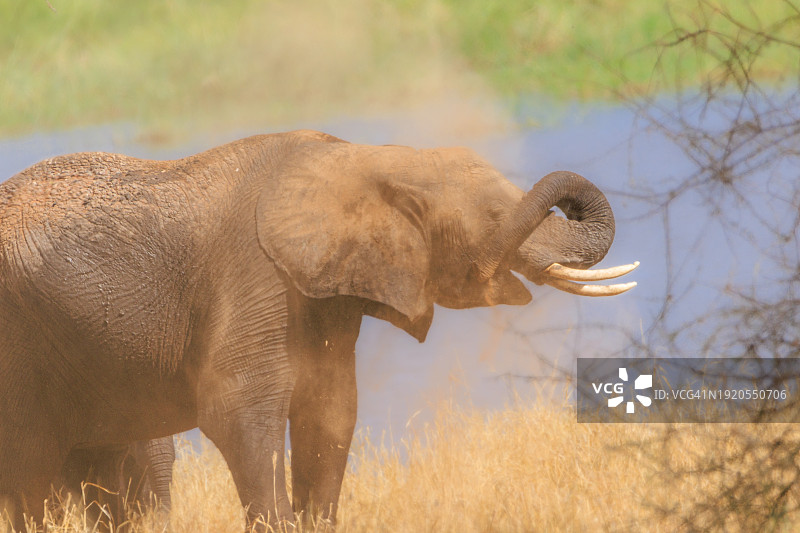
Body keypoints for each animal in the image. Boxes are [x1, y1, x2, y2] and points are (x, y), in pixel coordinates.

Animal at [0, 129, 636, 530]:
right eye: (499, 218)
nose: (570, 202)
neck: (366, 160)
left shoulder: (325, 297)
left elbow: (331, 412)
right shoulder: (254, 278)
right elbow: (238, 414)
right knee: (31, 477)